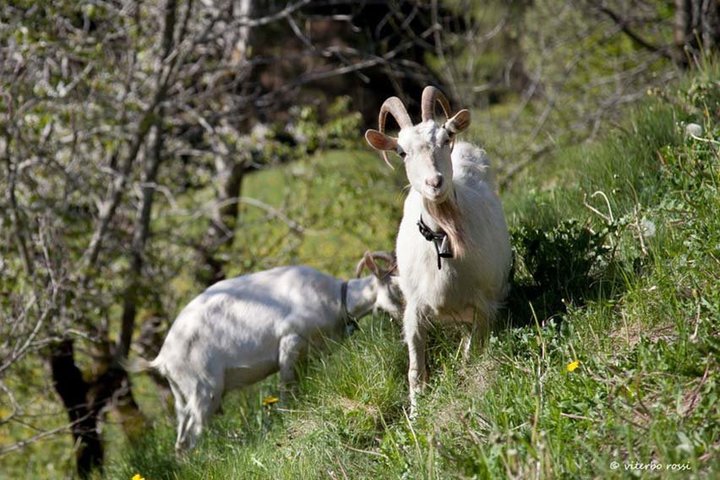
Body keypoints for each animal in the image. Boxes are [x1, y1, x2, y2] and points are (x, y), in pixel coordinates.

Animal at [129, 253, 400, 452]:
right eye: (396, 285)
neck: (334, 298)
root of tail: (163, 357)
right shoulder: (290, 340)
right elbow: (286, 388)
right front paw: (288, 417)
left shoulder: (315, 352)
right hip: (202, 388)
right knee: (193, 433)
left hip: (181, 393)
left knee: (181, 437)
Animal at [366, 87, 512, 416]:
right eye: (401, 152)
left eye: (445, 138)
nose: (435, 182)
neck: (443, 237)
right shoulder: (414, 310)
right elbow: (414, 372)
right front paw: (415, 415)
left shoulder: (484, 306)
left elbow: (472, 355)